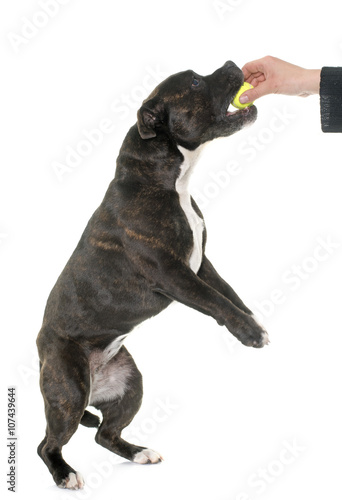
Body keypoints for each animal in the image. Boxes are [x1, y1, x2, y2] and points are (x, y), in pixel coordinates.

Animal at [36, 60, 268, 490]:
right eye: (194, 81)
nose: (232, 64)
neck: (170, 179)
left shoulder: (201, 262)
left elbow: (229, 293)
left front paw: (253, 321)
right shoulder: (173, 274)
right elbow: (215, 300)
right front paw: (249, 333)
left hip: (130, 385)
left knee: (105, 434)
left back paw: (138, 453)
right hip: (68, 393)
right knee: (48, 443)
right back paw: (65, 474)